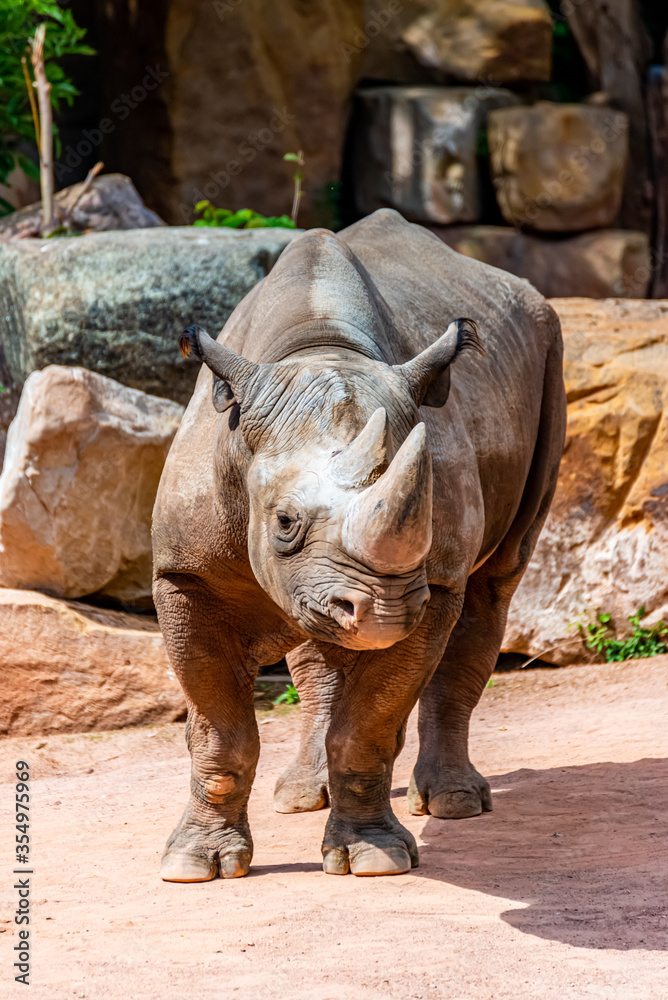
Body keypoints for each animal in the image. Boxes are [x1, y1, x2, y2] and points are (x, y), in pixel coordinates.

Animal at [153, 209, 566, 880]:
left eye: (427, 511)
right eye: (283, 522)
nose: (384, 611)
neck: (318, 347)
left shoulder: (430, 583)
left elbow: (370, 722)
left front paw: (374, 859)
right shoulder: (186, 574)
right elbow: (220, 729)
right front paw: (195, 864)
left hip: (550, 349)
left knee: (494, 585)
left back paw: (453, 804)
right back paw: (300, 795)